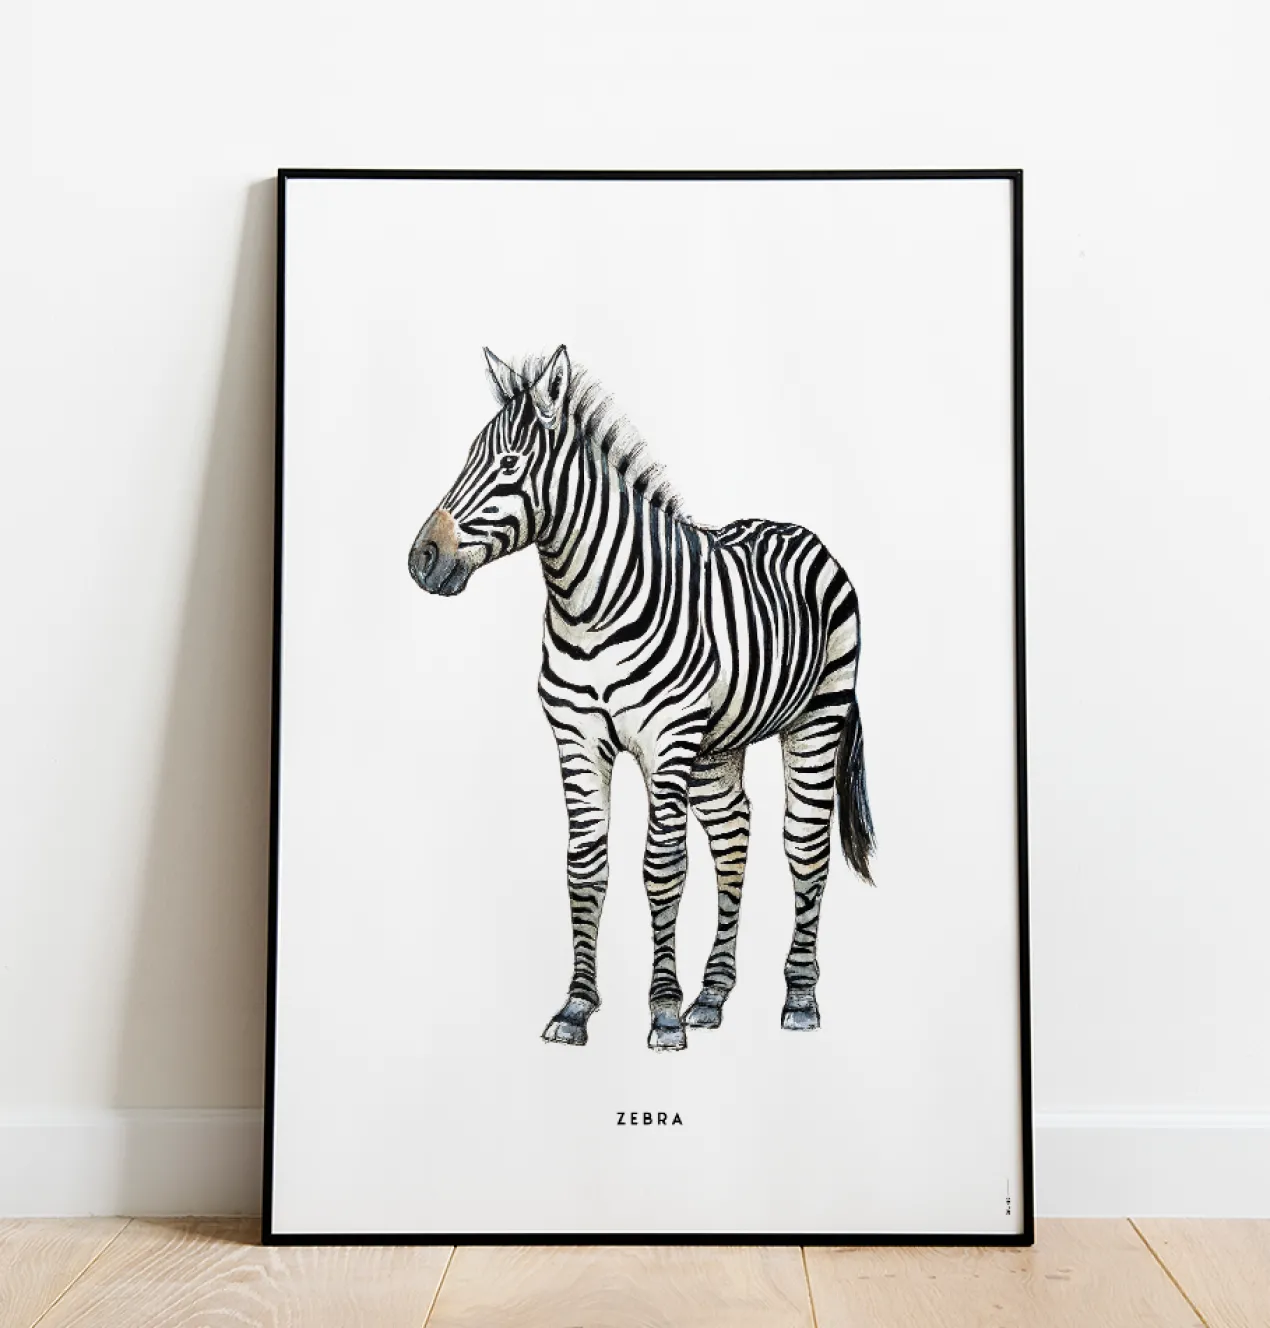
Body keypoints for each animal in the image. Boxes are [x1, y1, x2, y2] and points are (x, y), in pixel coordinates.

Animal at [408, 346, 874, 1051]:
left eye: (510, 464)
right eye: (467, 458)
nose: (421, 560)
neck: (590, 606)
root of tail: (796, 530)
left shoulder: (666, 744)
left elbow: (662, 868)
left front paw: (663, 1011)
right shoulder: (577, 739)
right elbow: (584, 866)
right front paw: (577, 1007)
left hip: (817, 719)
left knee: (804, 845)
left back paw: (798, 998)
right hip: (718, 745)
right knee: (733, 836)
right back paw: (712, 996)